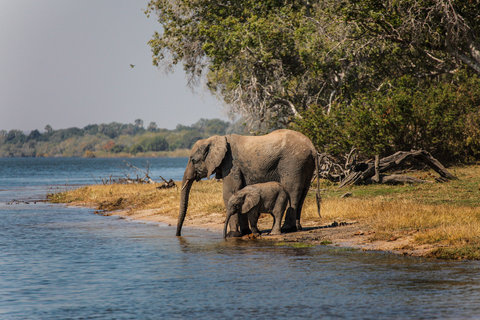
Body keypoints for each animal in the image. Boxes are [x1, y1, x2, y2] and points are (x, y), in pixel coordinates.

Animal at [176, 129, 318, 236]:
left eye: (193, 160)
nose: (178, 235)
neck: (216, 139)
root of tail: (312, 147)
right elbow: (239, 192)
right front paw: (245, 232)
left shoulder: (231, 164)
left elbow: (229, 194)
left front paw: (233, 235)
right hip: (306, 164)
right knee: (303, 193)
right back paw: (297, 228)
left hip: (293, 163)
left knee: (292, 191)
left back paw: (287, 229)